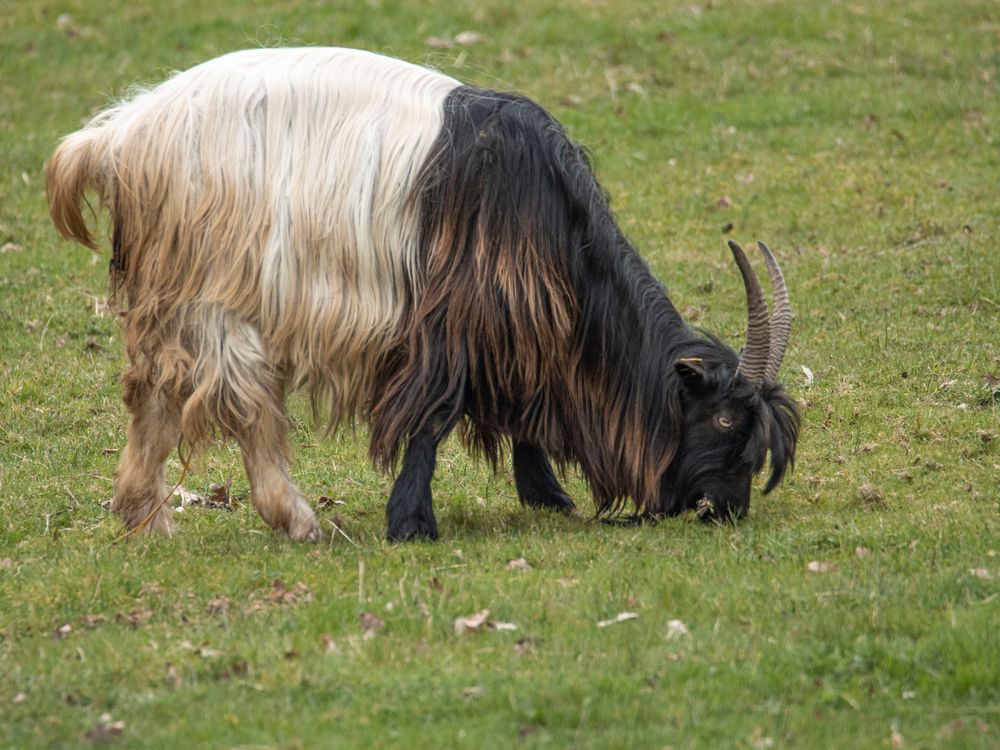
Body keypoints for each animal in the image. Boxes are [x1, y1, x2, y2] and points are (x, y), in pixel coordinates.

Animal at [47, 48, 800, 540]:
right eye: (723, 420)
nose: (722, 509)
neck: (548, 207)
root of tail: (118, 139)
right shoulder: (455, 315)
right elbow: (435, 417)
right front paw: (411, 521)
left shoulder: (511, 319)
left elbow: (520, 402)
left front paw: (547, 494)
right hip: (219, 289)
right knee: (243, 399)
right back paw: (297, 520)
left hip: (168, 292)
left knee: (154, 389)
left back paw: (145, 518)